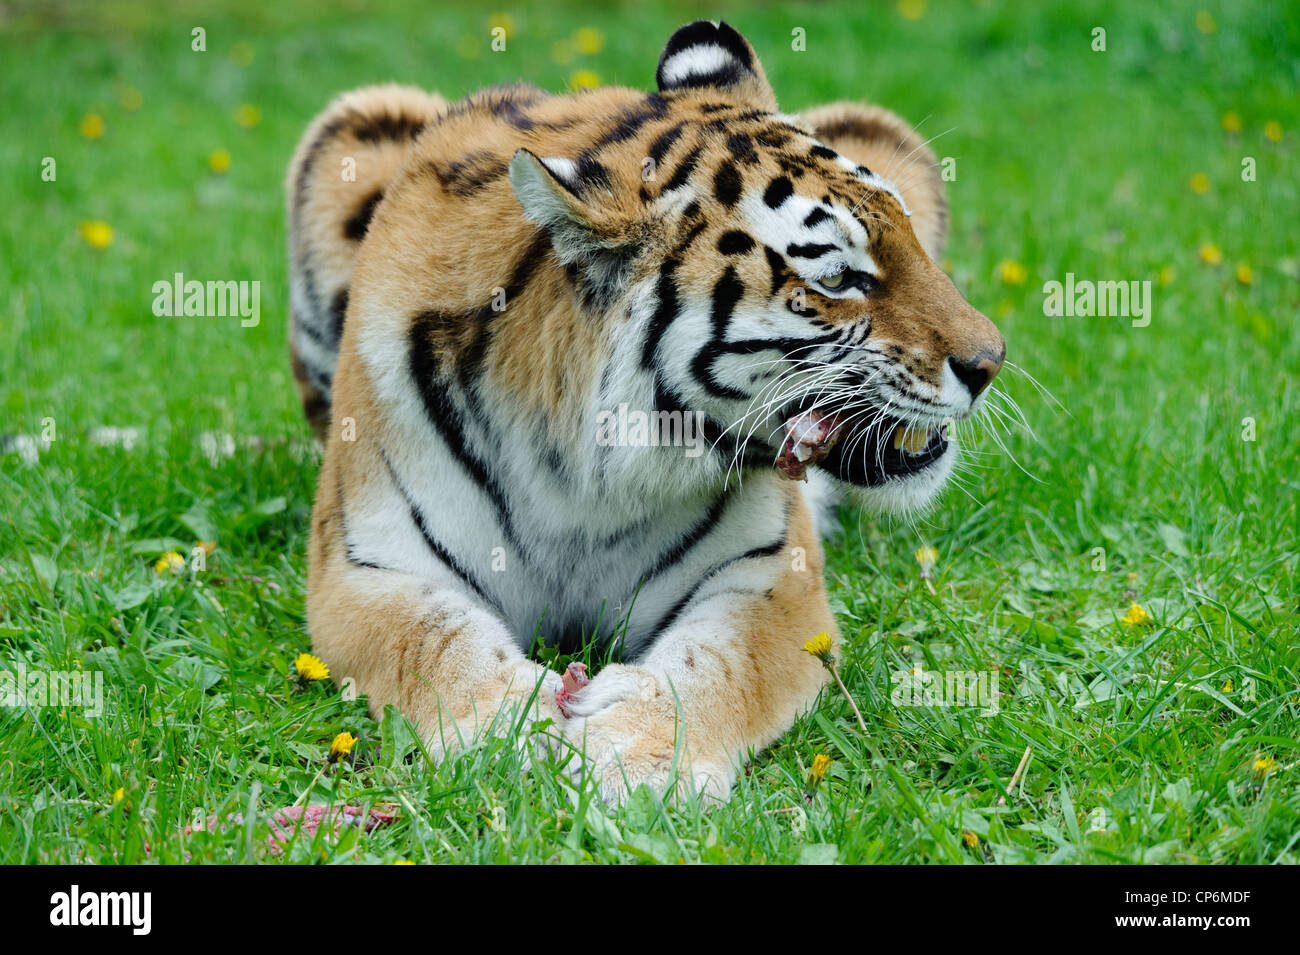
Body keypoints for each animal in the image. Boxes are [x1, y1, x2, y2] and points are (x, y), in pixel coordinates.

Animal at [286, 20, 1005, 803]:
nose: (991, 362)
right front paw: (514, 731)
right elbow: (435, 641)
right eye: (839, 278)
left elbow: (717, 664)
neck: (578, 472)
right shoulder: (368, 567)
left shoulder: (769, 575)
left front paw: (636, 757)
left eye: (906, 241)